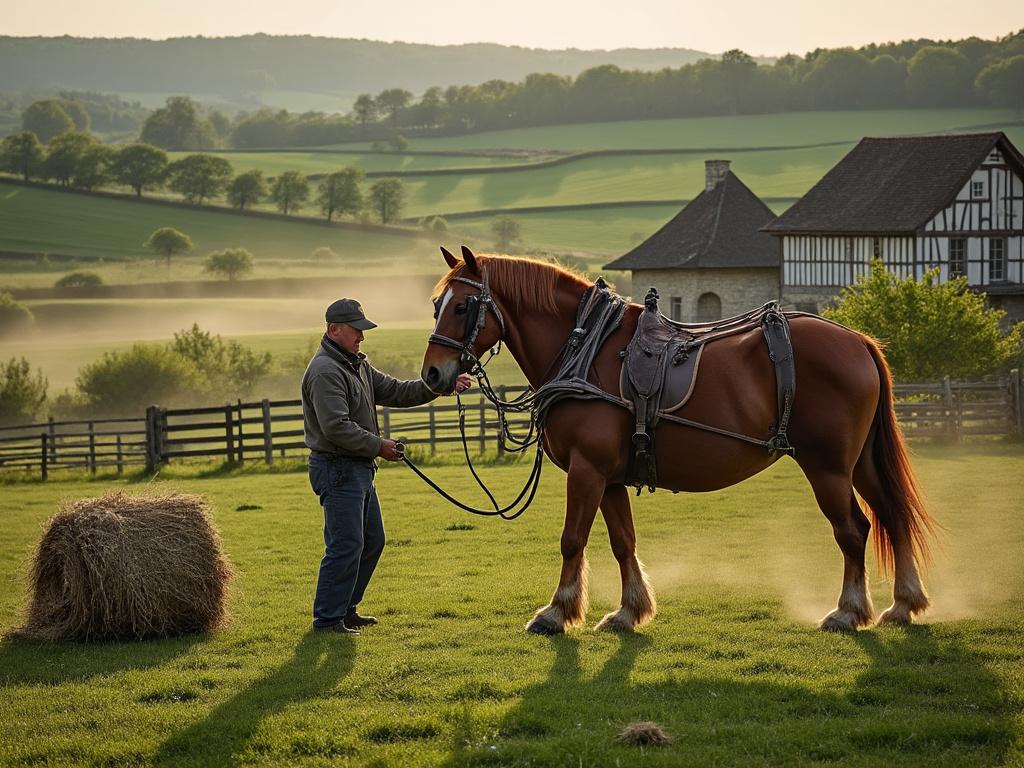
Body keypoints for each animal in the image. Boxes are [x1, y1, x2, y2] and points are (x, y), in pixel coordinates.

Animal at [420, 246, 936, 635]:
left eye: (463, 306)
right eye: (437, 305)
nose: (432, 374)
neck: (586, 349)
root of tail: (859, 341)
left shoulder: (586, 469)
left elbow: (572, 540)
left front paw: (556, 612)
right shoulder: (608, 476)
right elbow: (623, 541)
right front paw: (630, 610)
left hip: (827, 467)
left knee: (853, 529)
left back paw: (848, 611)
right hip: (860, 463)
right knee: (891, 514)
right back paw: (902, 604)